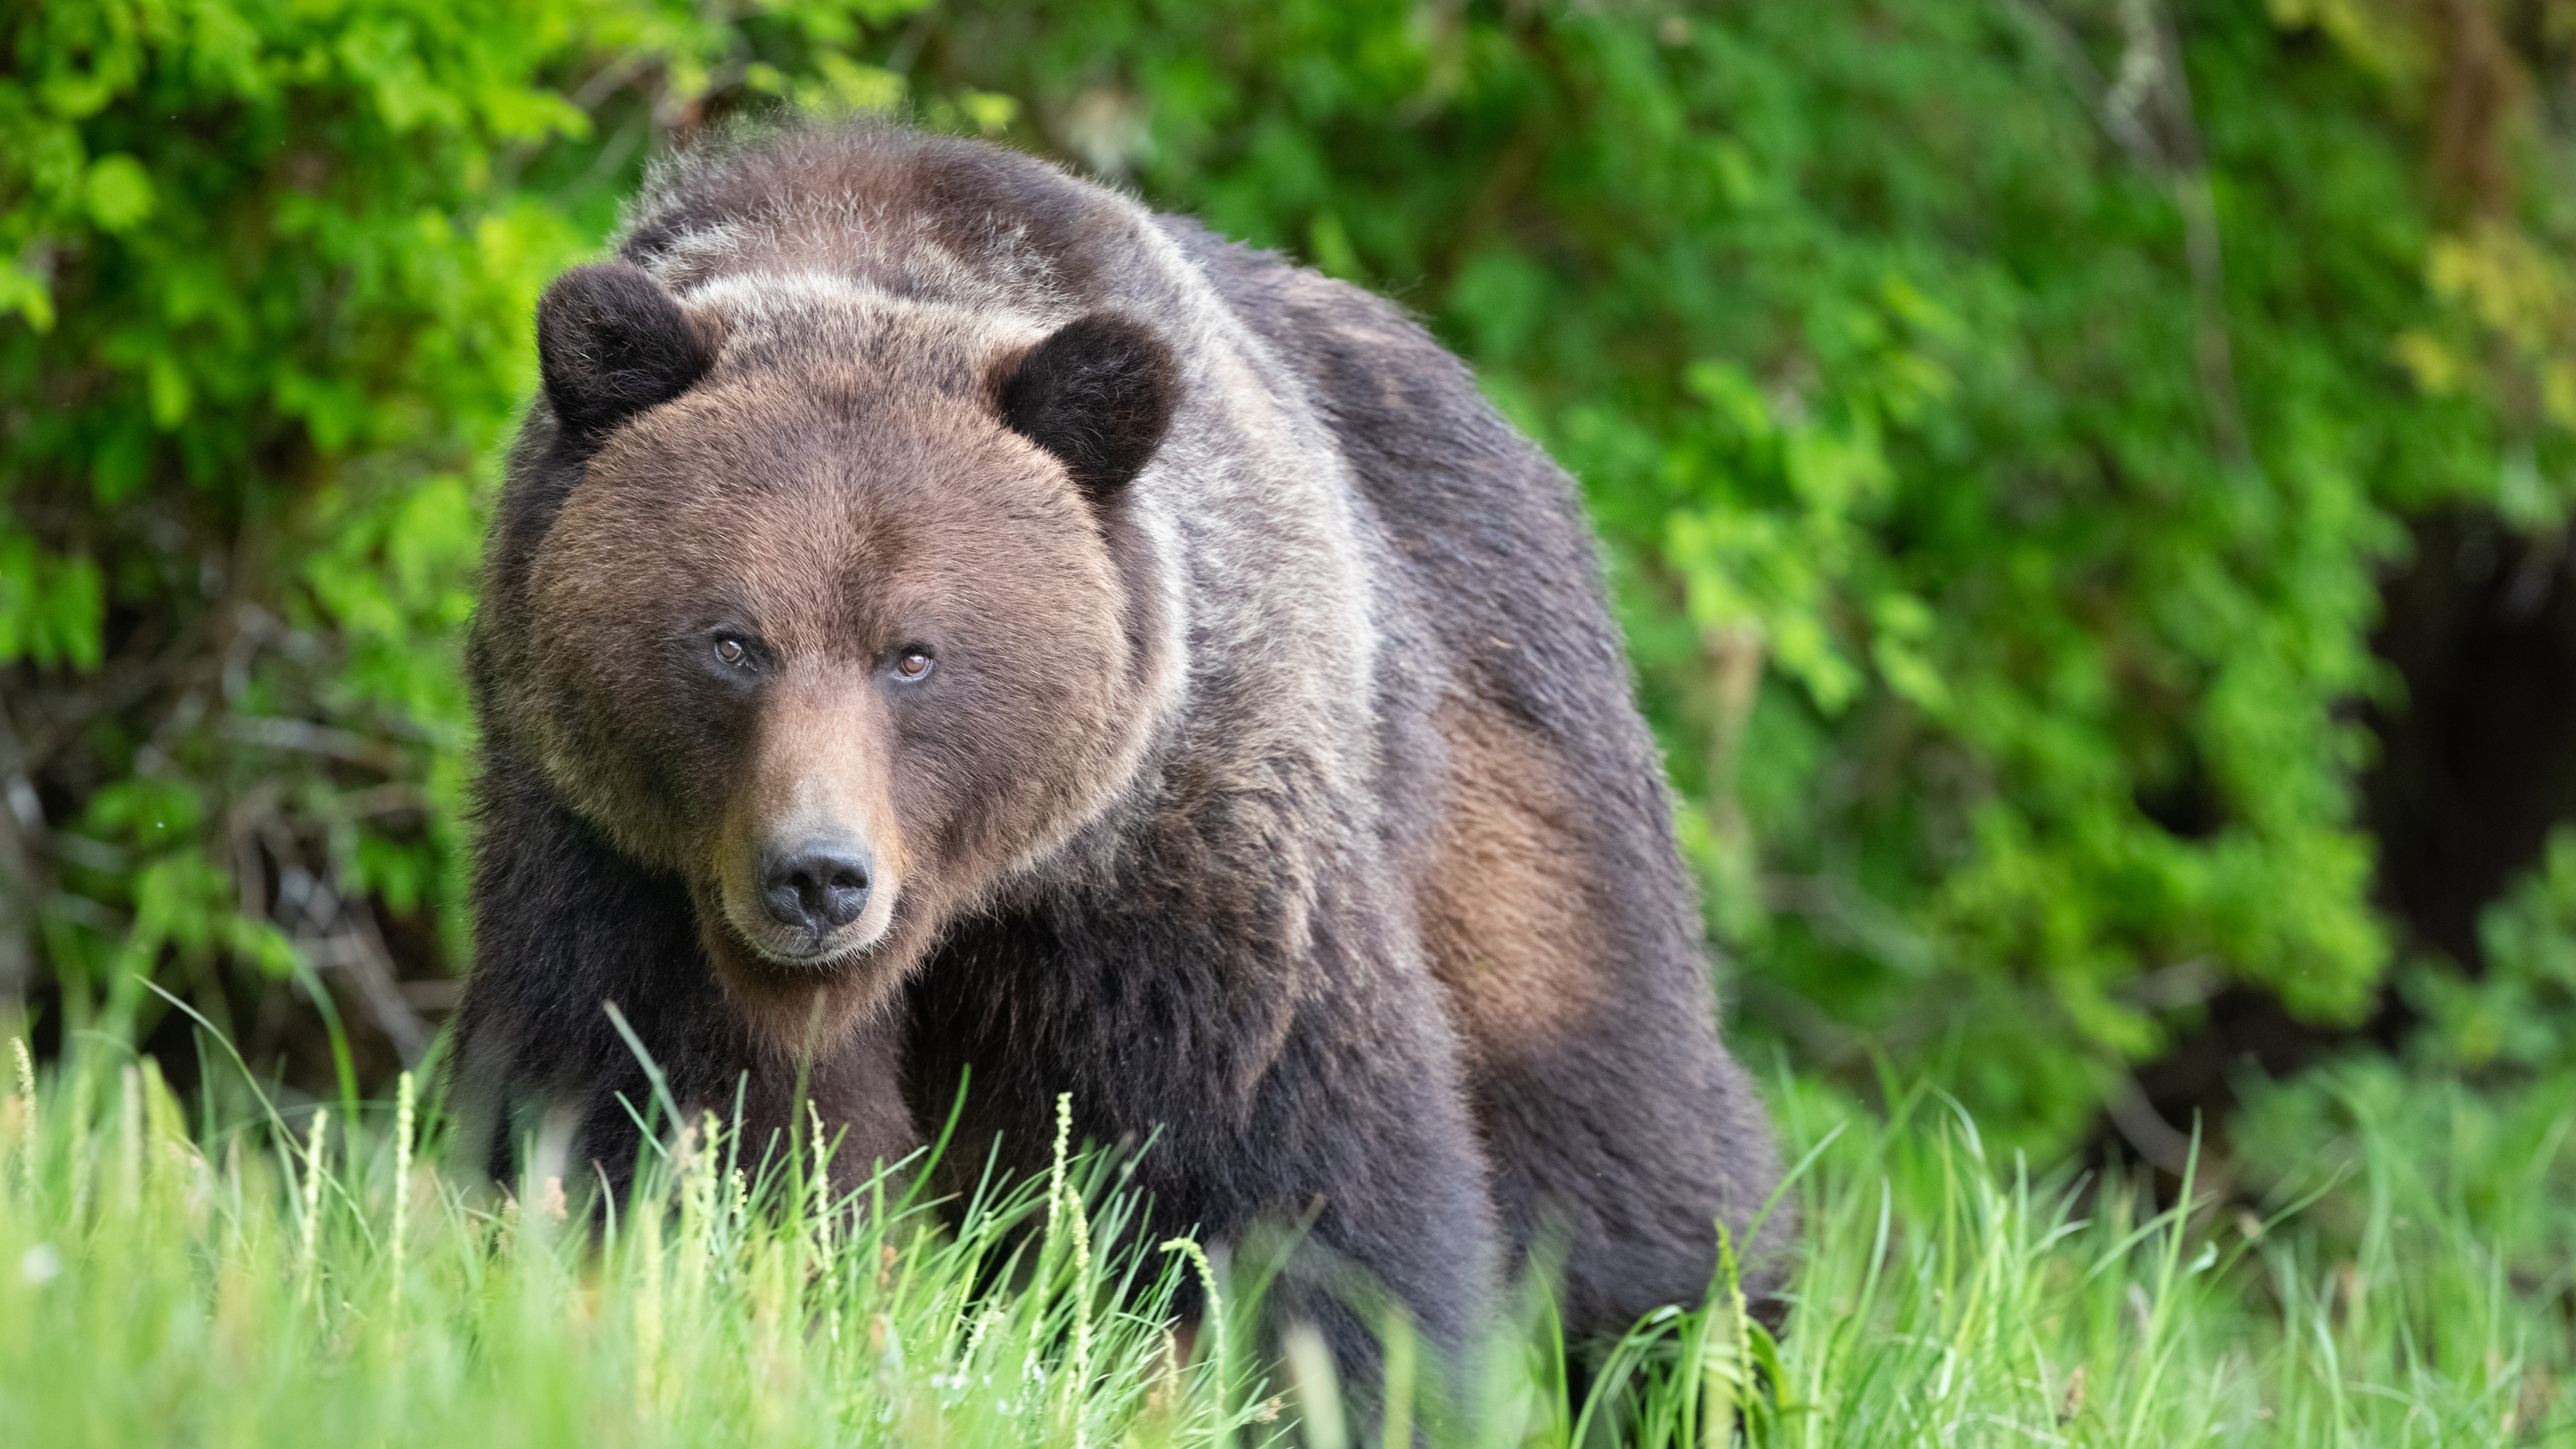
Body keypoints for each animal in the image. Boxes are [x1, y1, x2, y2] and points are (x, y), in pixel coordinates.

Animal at [453, 121, 1783, 1361]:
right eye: (733, 641)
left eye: (914, 652)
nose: (818, 875)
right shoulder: (619, 857)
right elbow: (650, 1109)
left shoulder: (1184, 835)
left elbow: (1289, 1165)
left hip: (1509, 761)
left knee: (1611, 1124)